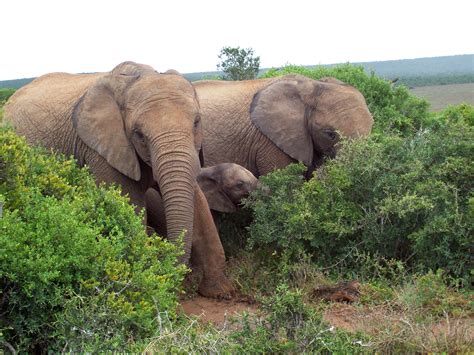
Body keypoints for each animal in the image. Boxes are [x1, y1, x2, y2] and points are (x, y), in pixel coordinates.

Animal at [3, 62, 233, 298]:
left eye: (197, 122)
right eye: (138, 134)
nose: (178, 282)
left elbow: (198, 203)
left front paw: (220, 292)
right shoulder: (101, 151)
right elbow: (129, 204)